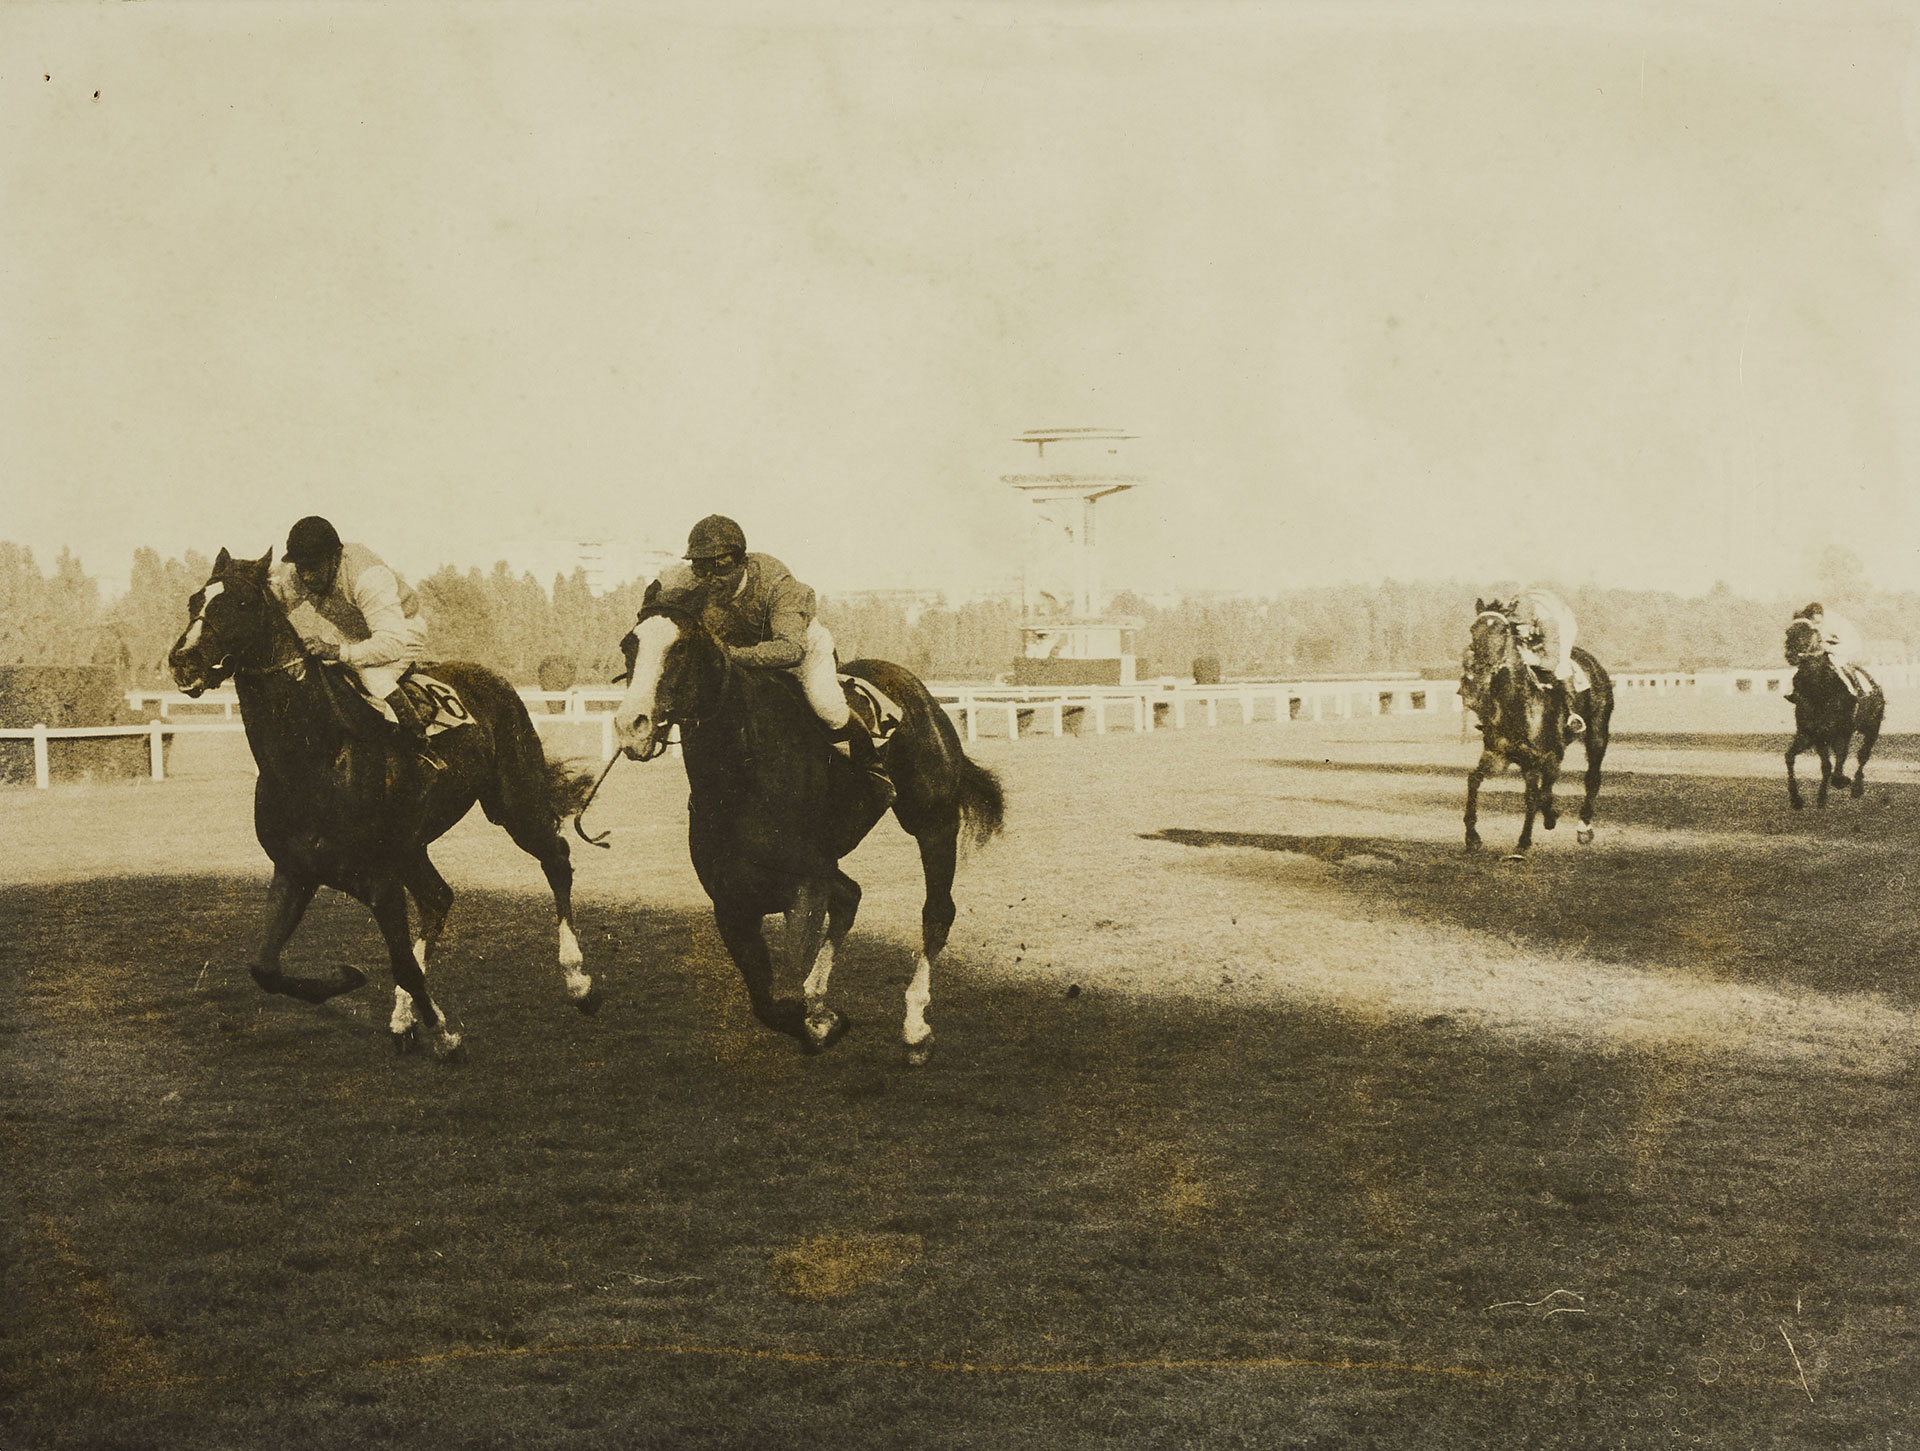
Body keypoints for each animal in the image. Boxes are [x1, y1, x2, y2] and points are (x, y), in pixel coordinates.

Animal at [168, 548, 595, 1059]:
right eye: (194, 600)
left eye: (243, 603)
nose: (183, 661)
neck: (313, 756)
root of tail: (492, 677)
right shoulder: (296, 870)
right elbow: (265, 968)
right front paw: (347, 978)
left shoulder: (378, 878)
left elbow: (404, 965)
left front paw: (445, 1035)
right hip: (413, 845)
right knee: (438, 899)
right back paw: (402, 1018)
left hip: (514, 803)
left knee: (556, 859)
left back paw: (578, 981)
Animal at [610, 591, 1006, 1067]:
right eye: (628, 646)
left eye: (683, 648)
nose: (632, 726)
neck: (741, 779)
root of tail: (917, 689)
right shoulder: (731, 903)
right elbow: (769, 1003)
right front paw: (820, 1018)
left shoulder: (806, 886)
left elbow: (791, 976)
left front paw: (823, 1018)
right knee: (852, 896)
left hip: (933, 821)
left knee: (936, 912)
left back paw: (915, 1029)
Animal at [1459, 594, 1612, 856]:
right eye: (1473, 629)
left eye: (1502, 630)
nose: (1476, 674)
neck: (1516, 705)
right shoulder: (1498, 754)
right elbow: (1474, 780)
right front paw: (1472, 836)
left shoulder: (1544, 756)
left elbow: (1533, 795)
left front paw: (1523, 842)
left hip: (1597, 735)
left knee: (1591, 778)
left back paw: (1583, 827)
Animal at [1774, 618, 1881, 809]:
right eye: (1788, 632)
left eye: (1810, 633)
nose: (1790, 654)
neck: (1819, 691)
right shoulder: (1811, 734)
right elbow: (1794, 758)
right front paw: (1797, 799)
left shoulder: (1839, 731)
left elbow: (1833, 762)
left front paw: (1828, 791)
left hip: (1871, 728)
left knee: (1862, 756)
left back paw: (1856, 787)